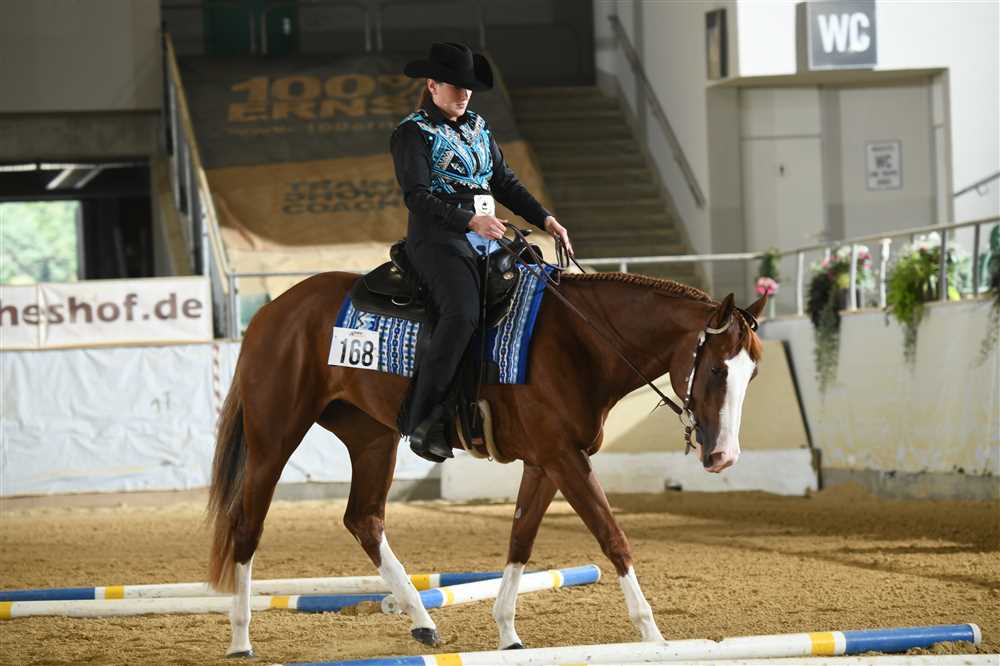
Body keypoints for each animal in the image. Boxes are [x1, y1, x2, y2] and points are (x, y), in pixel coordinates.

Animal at [206, 268, 767, 657]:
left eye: (753, 374)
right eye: (716, 369)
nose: (724, 455)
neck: (580, 343)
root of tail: (274, 312)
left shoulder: (547, 463)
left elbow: (520, 540)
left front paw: (508, 633)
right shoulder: (565, 459)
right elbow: (614, 537)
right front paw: (653, 636)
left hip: (372, 439)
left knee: (364, 519)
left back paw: (423, 621)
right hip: (274, 438)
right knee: (247, 524)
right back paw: (240, 639)